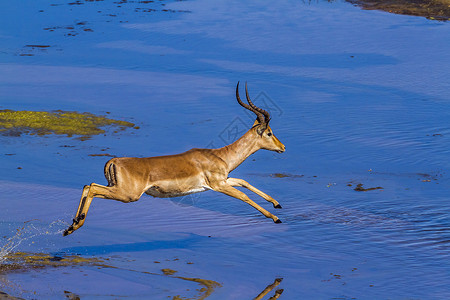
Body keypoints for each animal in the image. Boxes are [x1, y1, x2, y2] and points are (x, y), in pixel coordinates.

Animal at [64, 82, 284, 237]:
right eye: (269, 133)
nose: (282, 147)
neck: (221, 155)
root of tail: (114, 161)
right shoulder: (218, 185)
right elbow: (244, 196)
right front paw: (275, 218)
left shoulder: (223, 180)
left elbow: (244, 182)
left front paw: (277, 204)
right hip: (128, 195)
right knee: (92, 187)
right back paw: (74, 226)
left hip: (118, 190)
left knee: (88, 186)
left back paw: (71, 226)